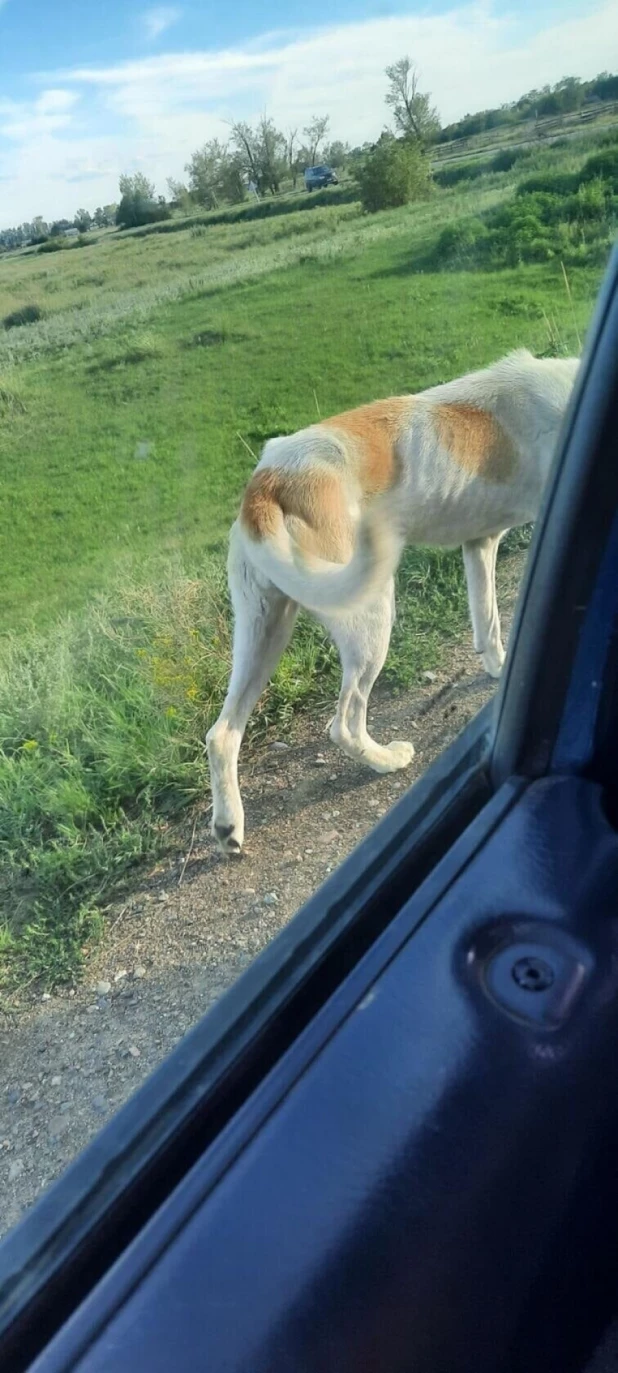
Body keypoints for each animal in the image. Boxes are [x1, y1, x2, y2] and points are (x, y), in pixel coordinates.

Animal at [207, 348, 579, 851]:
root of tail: (269, 479)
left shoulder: (479, 545)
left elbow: (489, 622)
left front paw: (501, 669)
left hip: (264, 631)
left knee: (222, 733)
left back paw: (229, 826)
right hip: (370, 612)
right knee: (344, 723)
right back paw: (387, 760)